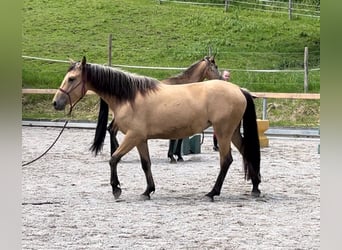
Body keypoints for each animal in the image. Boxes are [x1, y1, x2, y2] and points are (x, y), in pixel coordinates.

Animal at [93, 55, 222, 163]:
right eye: (215, 66)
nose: (221, 78)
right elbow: (176, 138)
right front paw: (172, 156)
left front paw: (178, 156)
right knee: (112, 130)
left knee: (111, 130)